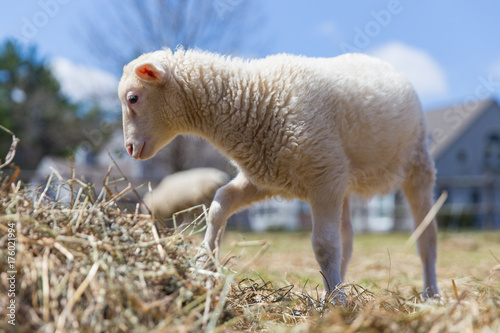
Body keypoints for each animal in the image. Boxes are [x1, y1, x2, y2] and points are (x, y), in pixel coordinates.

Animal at [119, 47, 440, 298]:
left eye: (133, 98)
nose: (130, 149)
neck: (252, 98)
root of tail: (380, 62)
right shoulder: (267, 178)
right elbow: (220, 204)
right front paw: (204, 263)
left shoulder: (321, 178)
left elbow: (323, 246)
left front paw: (337, 303)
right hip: (342, 177)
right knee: (347, 238)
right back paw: (337, 285)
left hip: (416, 165)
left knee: (426, 236)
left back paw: (429, 292)